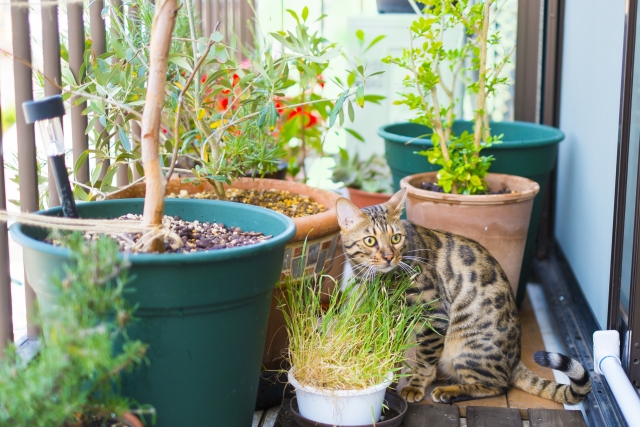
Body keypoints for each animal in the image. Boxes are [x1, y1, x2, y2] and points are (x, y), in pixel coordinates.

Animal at [336, 190, 592, 404]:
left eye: (396, 238)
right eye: (370, 240)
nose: (390, 256)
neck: (379, 280)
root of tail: (515, 360)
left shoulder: (435, 316)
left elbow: (424, 360)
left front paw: (415, 386)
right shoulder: (391, 318)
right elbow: (393, 351)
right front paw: (389, 376)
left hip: (466, 347)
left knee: (498, 385)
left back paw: (448, 391)